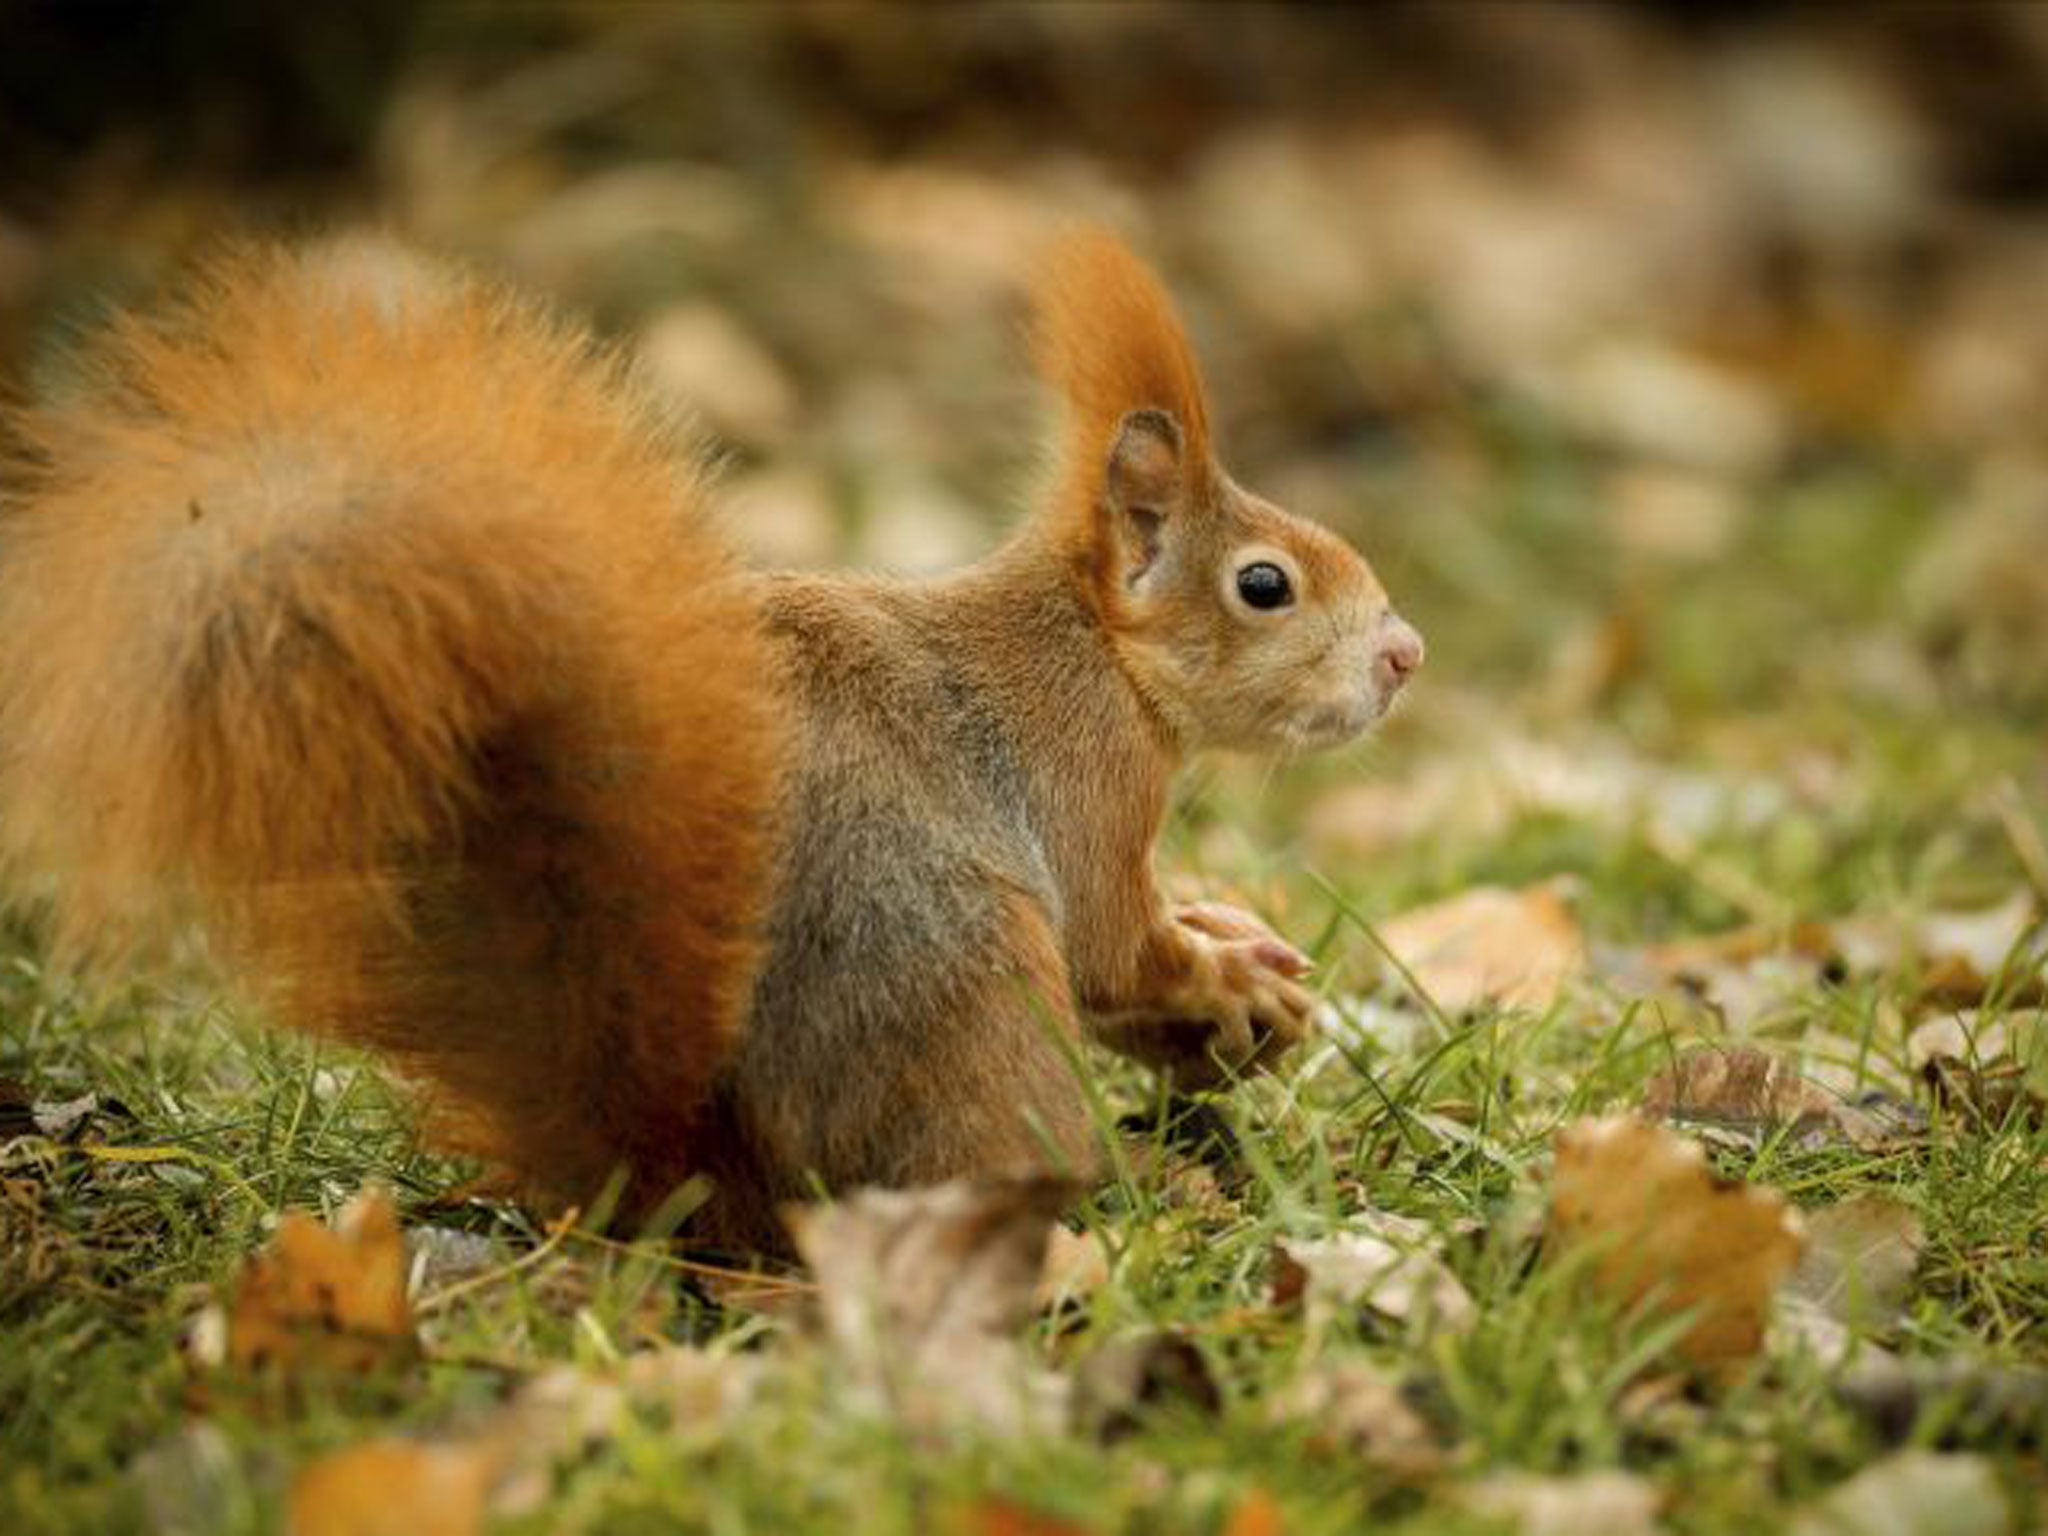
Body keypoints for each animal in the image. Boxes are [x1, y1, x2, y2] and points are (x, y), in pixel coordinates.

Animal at [0, 228, 1425, 1245]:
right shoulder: (1085, 786)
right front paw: (1226, 978)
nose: (1403, 655)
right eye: (1262, 585)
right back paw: (1143, 1187)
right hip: (976, 998)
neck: (1099, 653)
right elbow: (1115, 950)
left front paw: (1240, 952)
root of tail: (695, 1184)